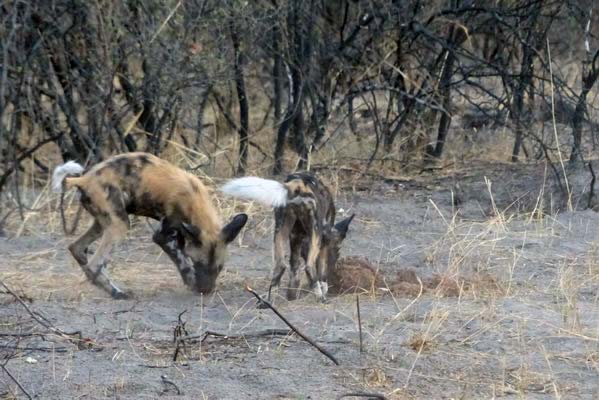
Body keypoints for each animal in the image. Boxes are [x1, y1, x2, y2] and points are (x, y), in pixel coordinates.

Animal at [52, 153, 248, 300]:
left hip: (103, 223)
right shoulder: (164, 235)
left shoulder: (180, 234)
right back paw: (117, 293)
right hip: (120, 225)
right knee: (95, 264)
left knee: (77, 248)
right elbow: (182, 261)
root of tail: (84, 179)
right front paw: (190, 281)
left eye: (219, 267)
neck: (194, 202)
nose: (205, 290)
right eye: (198, 263)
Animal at [220, 173, 354, 304]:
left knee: (280, 265)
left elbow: (294, 272)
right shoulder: (322, 243)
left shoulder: (296, 239)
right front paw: (323, 290)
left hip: (279, 230)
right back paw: (321, 298)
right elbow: (322, 273)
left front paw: (291, 297)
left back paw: (267, 301)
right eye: (337, 252)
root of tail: (298, 184)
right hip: (315, 232)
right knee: (309, 267)